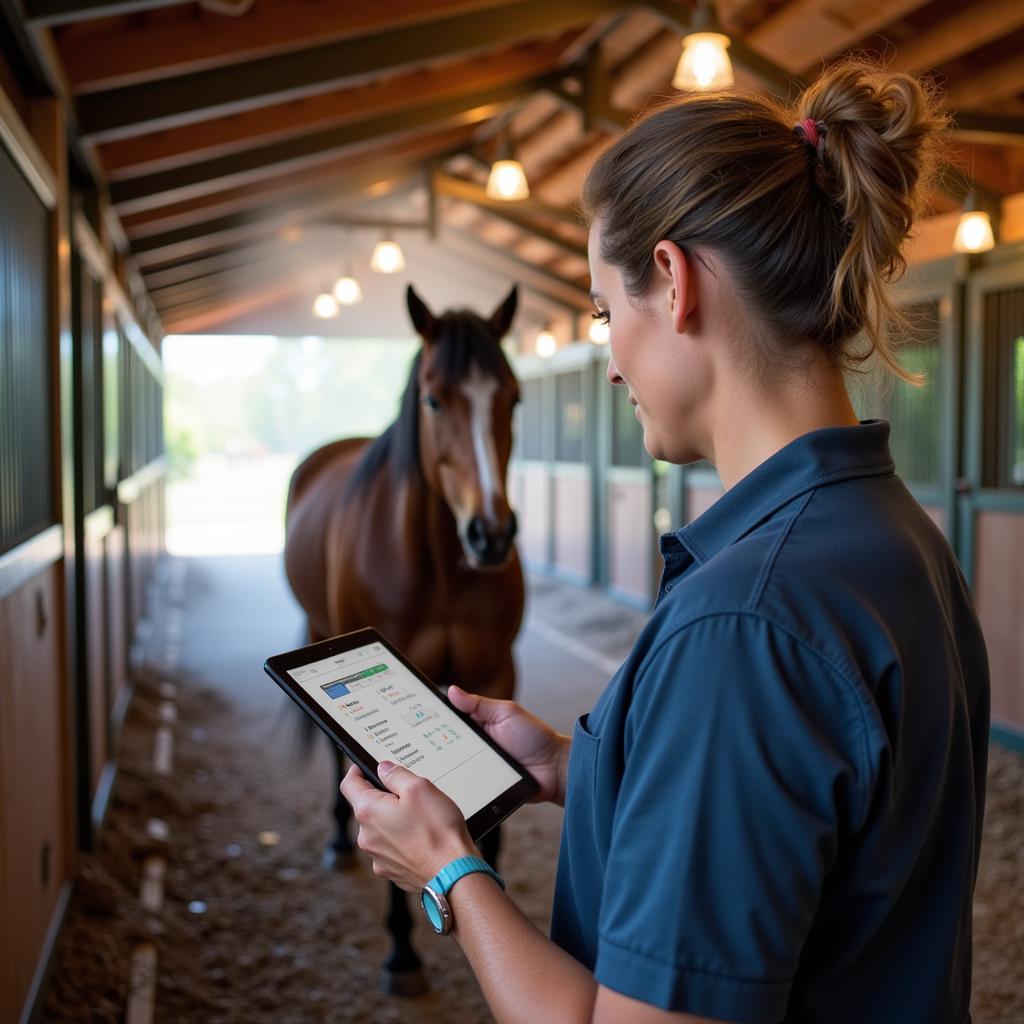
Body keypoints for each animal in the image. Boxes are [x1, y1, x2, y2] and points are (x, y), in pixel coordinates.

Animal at [286, 284, 528, 995]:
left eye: (513, 398)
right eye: (433, 398)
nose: (491, 536)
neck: (441, 567)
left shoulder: (494, 675)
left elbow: (493, 834)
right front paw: (401, 951)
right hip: (319, 629)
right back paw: (337, 840)